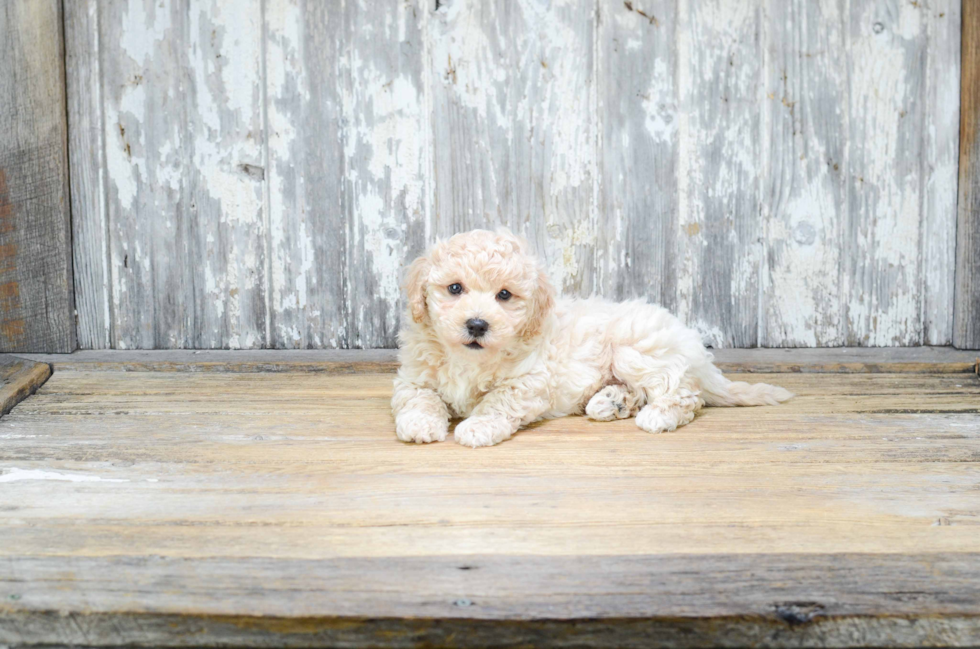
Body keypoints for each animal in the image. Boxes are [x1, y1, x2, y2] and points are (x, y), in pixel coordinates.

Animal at [388, 230, 788, 448]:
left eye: (504, 295)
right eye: (455, 288)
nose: (476, 324)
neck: (469, 359)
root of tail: (694, 349)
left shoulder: (528, 381)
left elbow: (498, 401)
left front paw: (478, 426)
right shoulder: (414, 377)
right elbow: (420, 398)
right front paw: (421, 423)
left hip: (636, 350)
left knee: (685, 392)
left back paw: (657, 414)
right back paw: (612, 403)